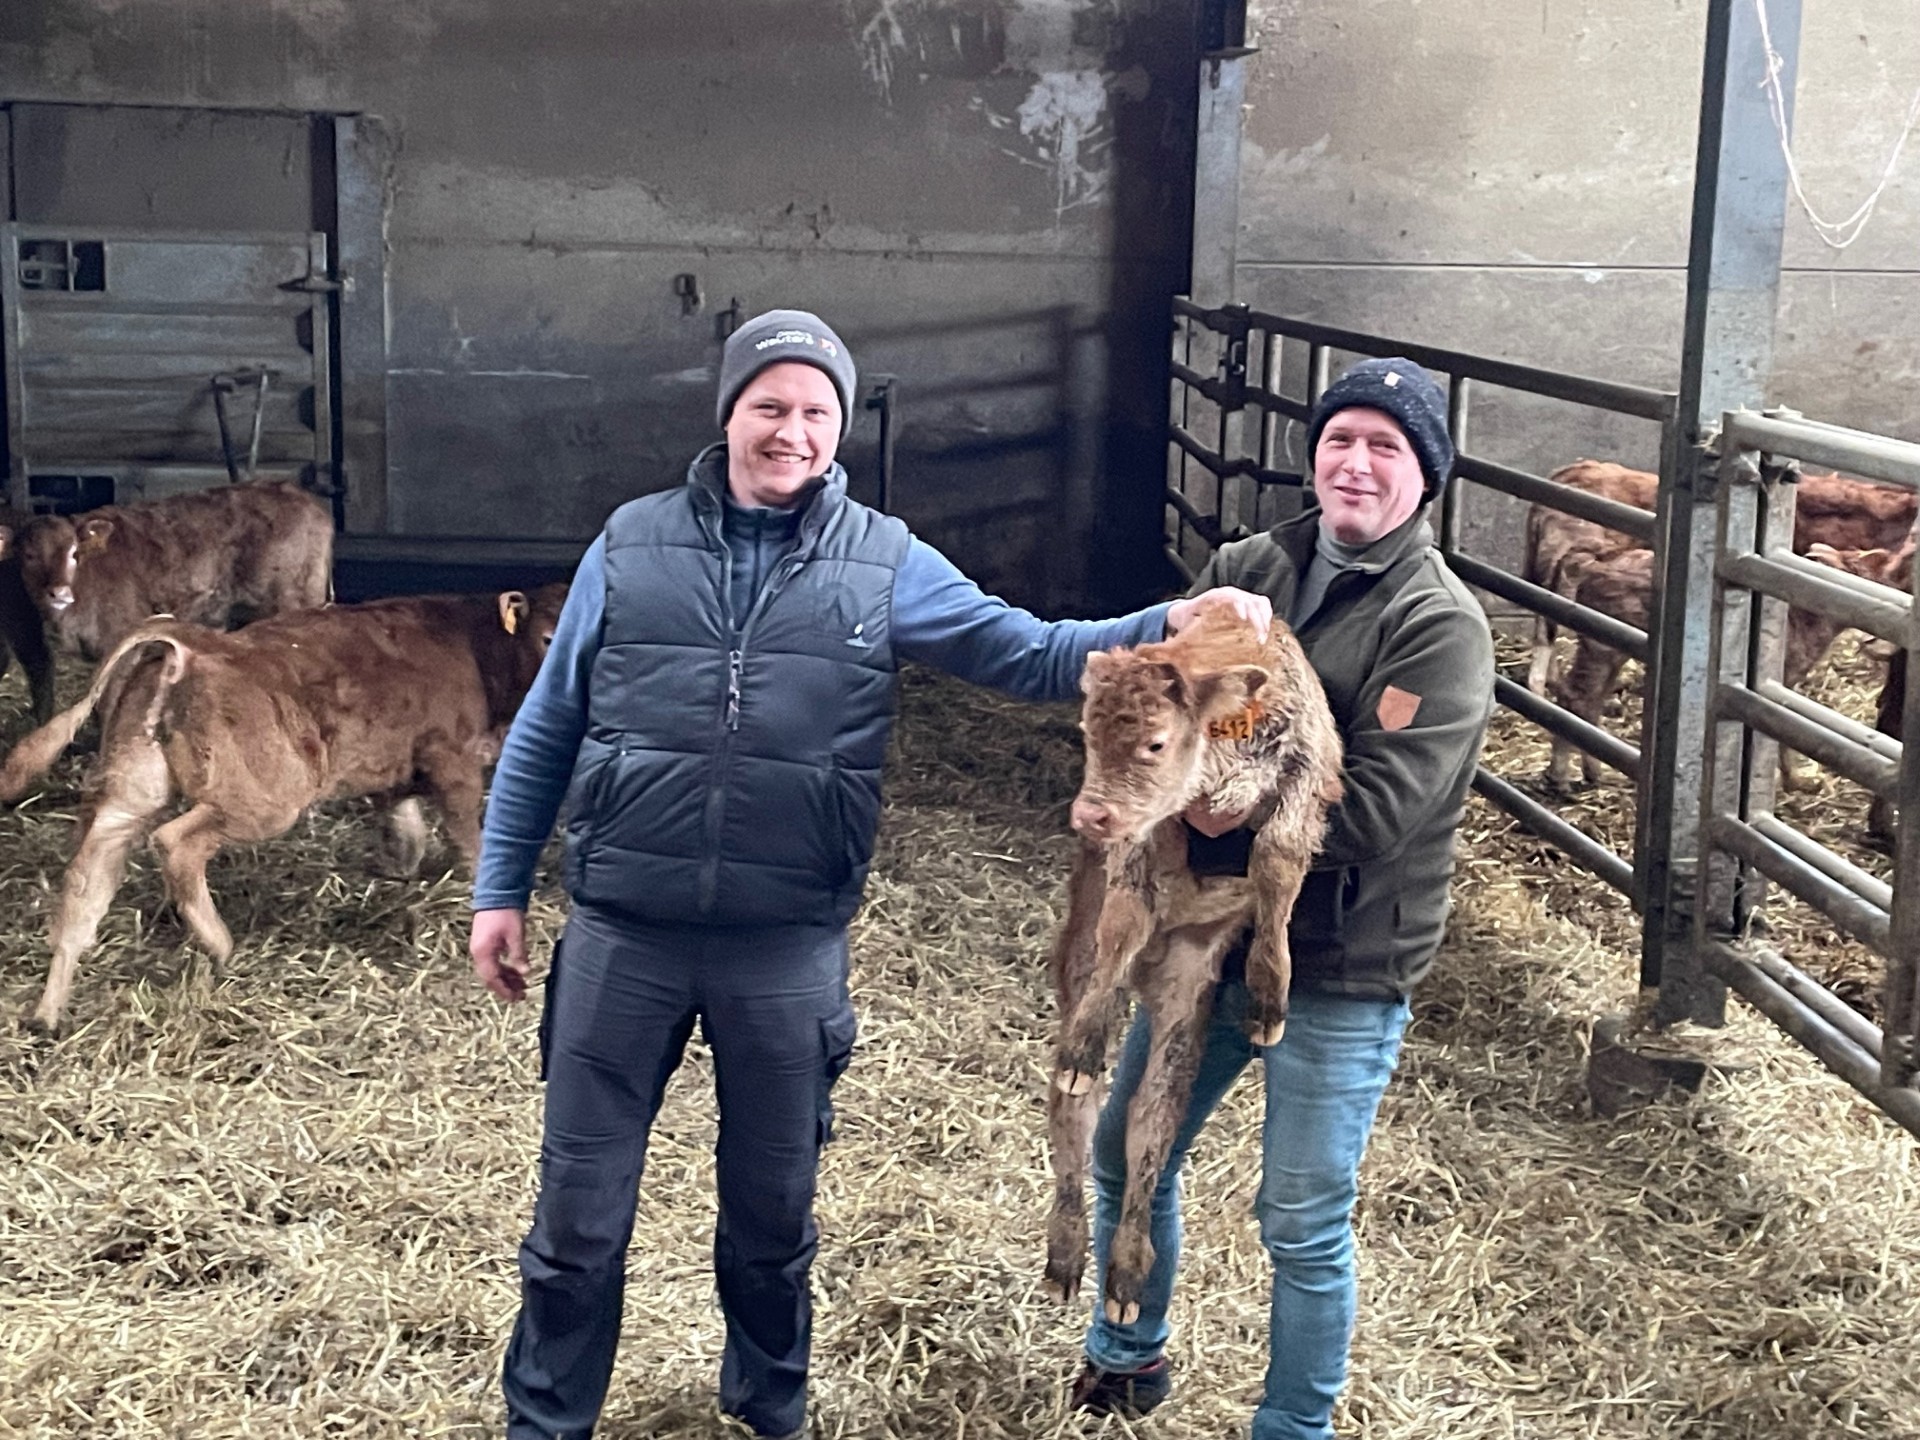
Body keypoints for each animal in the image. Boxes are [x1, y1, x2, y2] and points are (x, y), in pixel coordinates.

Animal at [0, 584, 567, 1033]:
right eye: (546, 637)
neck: (479, 647)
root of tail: (194, 641)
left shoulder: (397, 773)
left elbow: (406, 831)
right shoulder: (454, 763)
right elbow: (472, 842)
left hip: (131, 789)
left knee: (88, 879)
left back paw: (48, 1010)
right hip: (262, 799)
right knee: (177, 843)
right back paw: (220, 945)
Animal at [1041, 609, 1344, 1326]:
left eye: (1155, 743)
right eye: (1087, 732)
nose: (1090, 815)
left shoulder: (1310, 772)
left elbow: (1277, 857)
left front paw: (1268, 998)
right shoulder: (1144, 845)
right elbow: (1125, 915)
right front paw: (1085, 1045)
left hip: (1185, 997)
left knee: (1150, 1121)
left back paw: (1125, 1277)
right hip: (1080, 961)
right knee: (1075, 1114)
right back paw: (1067, 1257)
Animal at [1546, 542, 1912, 790]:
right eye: (1862, 572)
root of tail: (1594, 566)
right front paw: (1796, 782)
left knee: (1590, 703)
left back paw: (1594, 772)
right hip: (1602, 648)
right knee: (1576, 698)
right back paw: (1560, 777)